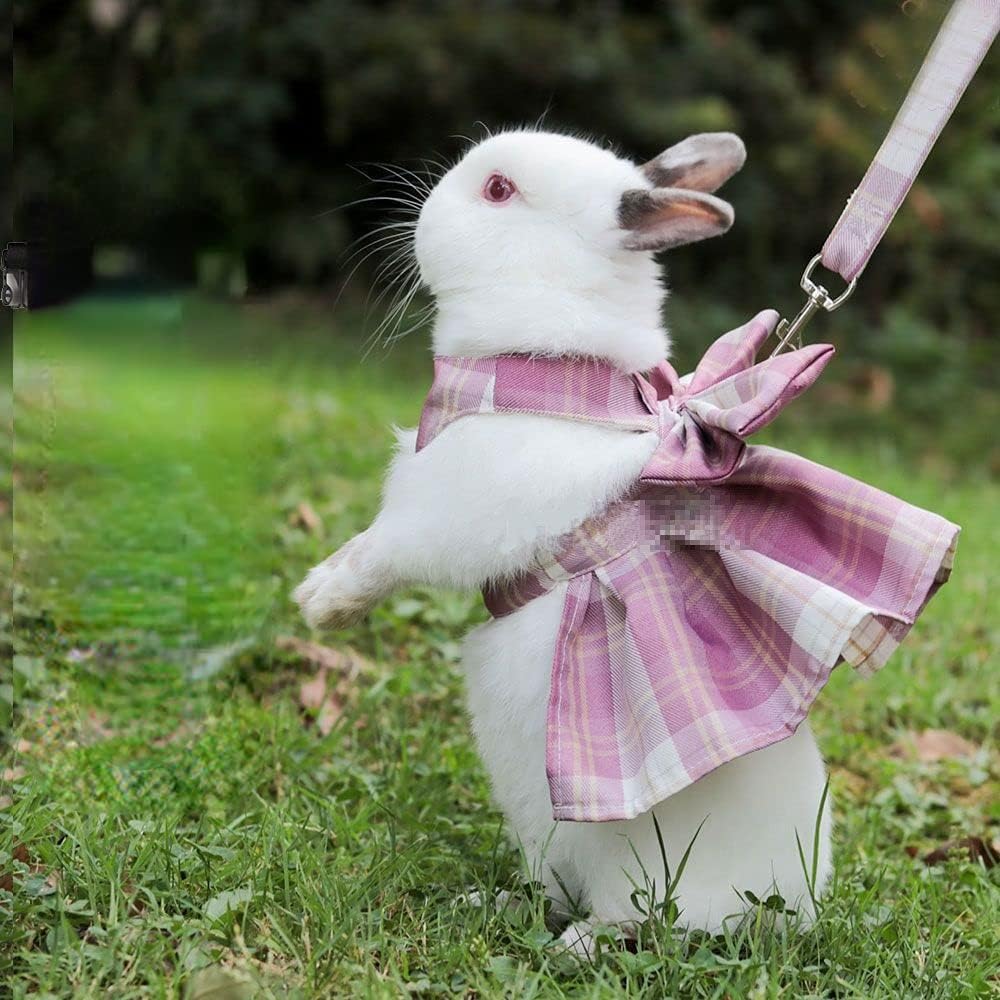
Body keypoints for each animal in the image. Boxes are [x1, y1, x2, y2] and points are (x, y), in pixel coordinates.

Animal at [295, 129, 832, 953]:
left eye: (498, 191)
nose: (418, 209)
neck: (546, 366)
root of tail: (787, 911)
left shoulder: (434, 516)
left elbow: (381, 556)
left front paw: (321, 601)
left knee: (645, 921)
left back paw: (579, 942)